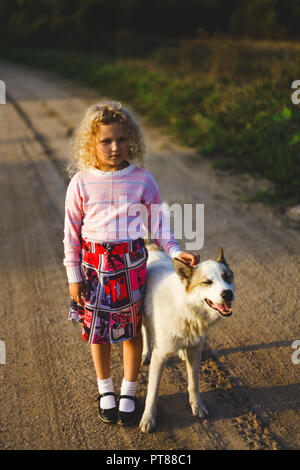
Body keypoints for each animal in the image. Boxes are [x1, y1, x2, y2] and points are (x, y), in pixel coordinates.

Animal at [139, 246, 236, 434]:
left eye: (227, 277)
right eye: (207, 282)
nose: (228, 294)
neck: (186, 308)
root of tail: (151, 248)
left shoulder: (195, 351)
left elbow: (193, 384)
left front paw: (197, 406)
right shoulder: (159, 356)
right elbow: (152, 392)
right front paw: (148, 418)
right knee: (145, 330)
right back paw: (146, 352)